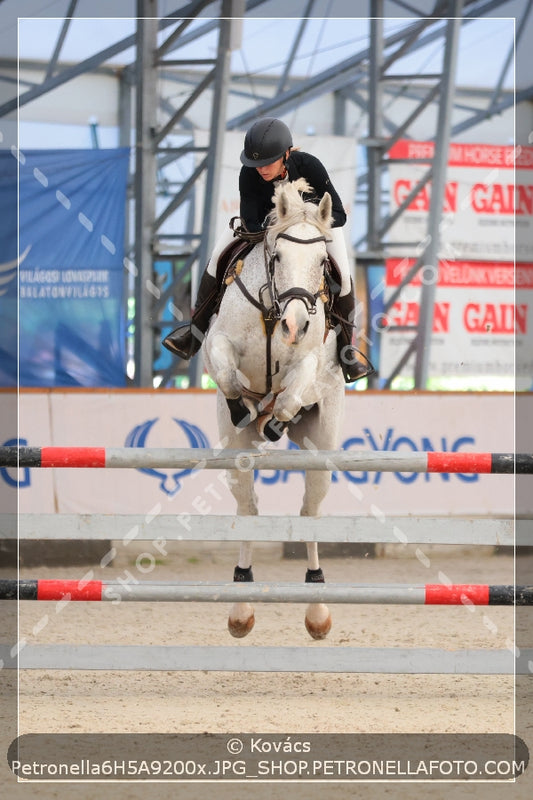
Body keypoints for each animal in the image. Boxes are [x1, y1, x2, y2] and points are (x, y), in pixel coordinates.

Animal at [203, 178, 344, 640]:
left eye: (322, 262)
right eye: (277, 256)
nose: (294, 327)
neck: (272, 309)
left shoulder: (309, 364)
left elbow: (288, 396)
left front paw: (273, 419)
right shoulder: (218, 346)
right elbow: (229, 378)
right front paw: (246, 407)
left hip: (322, 446)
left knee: (310, 511)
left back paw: (317, 610)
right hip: (235, 456)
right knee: (248, 508)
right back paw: (241, 605)